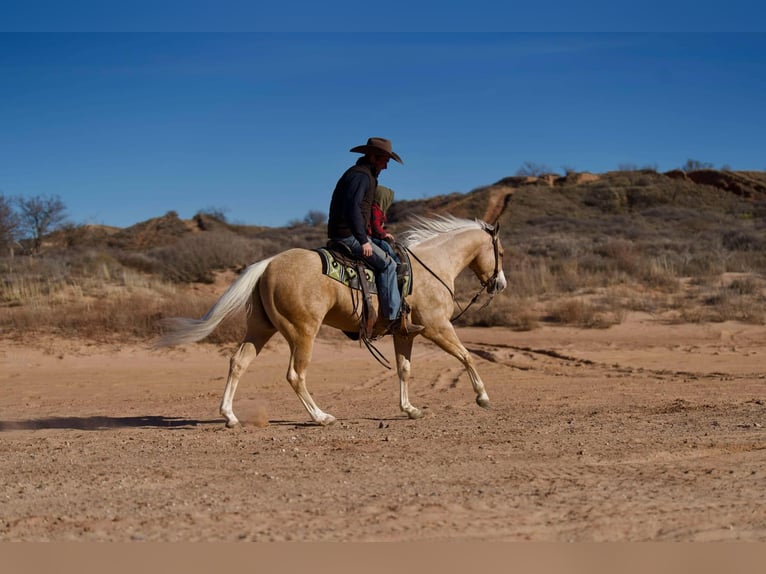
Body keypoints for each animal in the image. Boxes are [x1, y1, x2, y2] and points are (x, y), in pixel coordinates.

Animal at [156, 214, 507, 427]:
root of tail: (269, 263)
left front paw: (409, 409)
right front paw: (483, 397)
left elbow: (404, 369)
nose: (500, 284)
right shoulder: (438, 327)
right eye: (500, 251)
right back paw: (321, 416)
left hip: (260, 329)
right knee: (295, 374)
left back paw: (230, 416)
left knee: (238, 362)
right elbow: (466, 356)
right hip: (302, 332)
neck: (431, 267)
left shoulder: (404, 334)